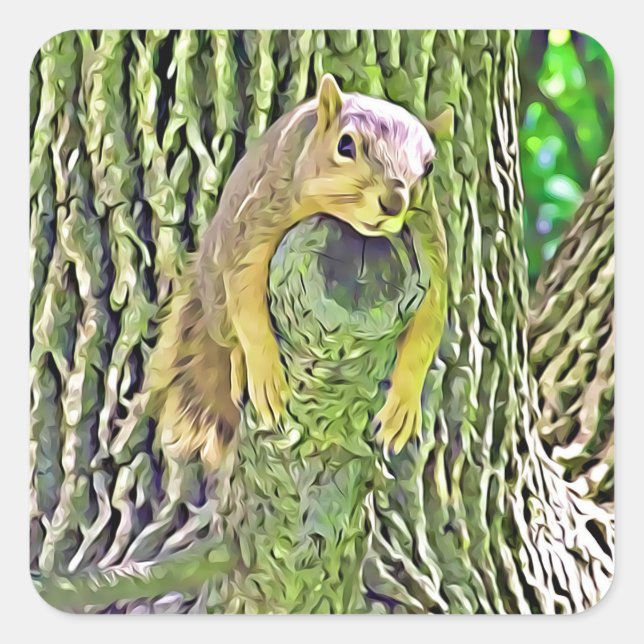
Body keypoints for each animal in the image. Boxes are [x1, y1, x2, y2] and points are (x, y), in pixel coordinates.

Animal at [142, 74, 448, 472]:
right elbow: (247, 297)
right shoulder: (264, 211)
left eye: (429, 168)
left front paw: (404, 406)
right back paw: (238, 360)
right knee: (228, 331)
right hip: (217, 298)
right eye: (346, 145)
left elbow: (429, 325)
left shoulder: (428, 240)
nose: (394, 201)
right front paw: (265, 374)